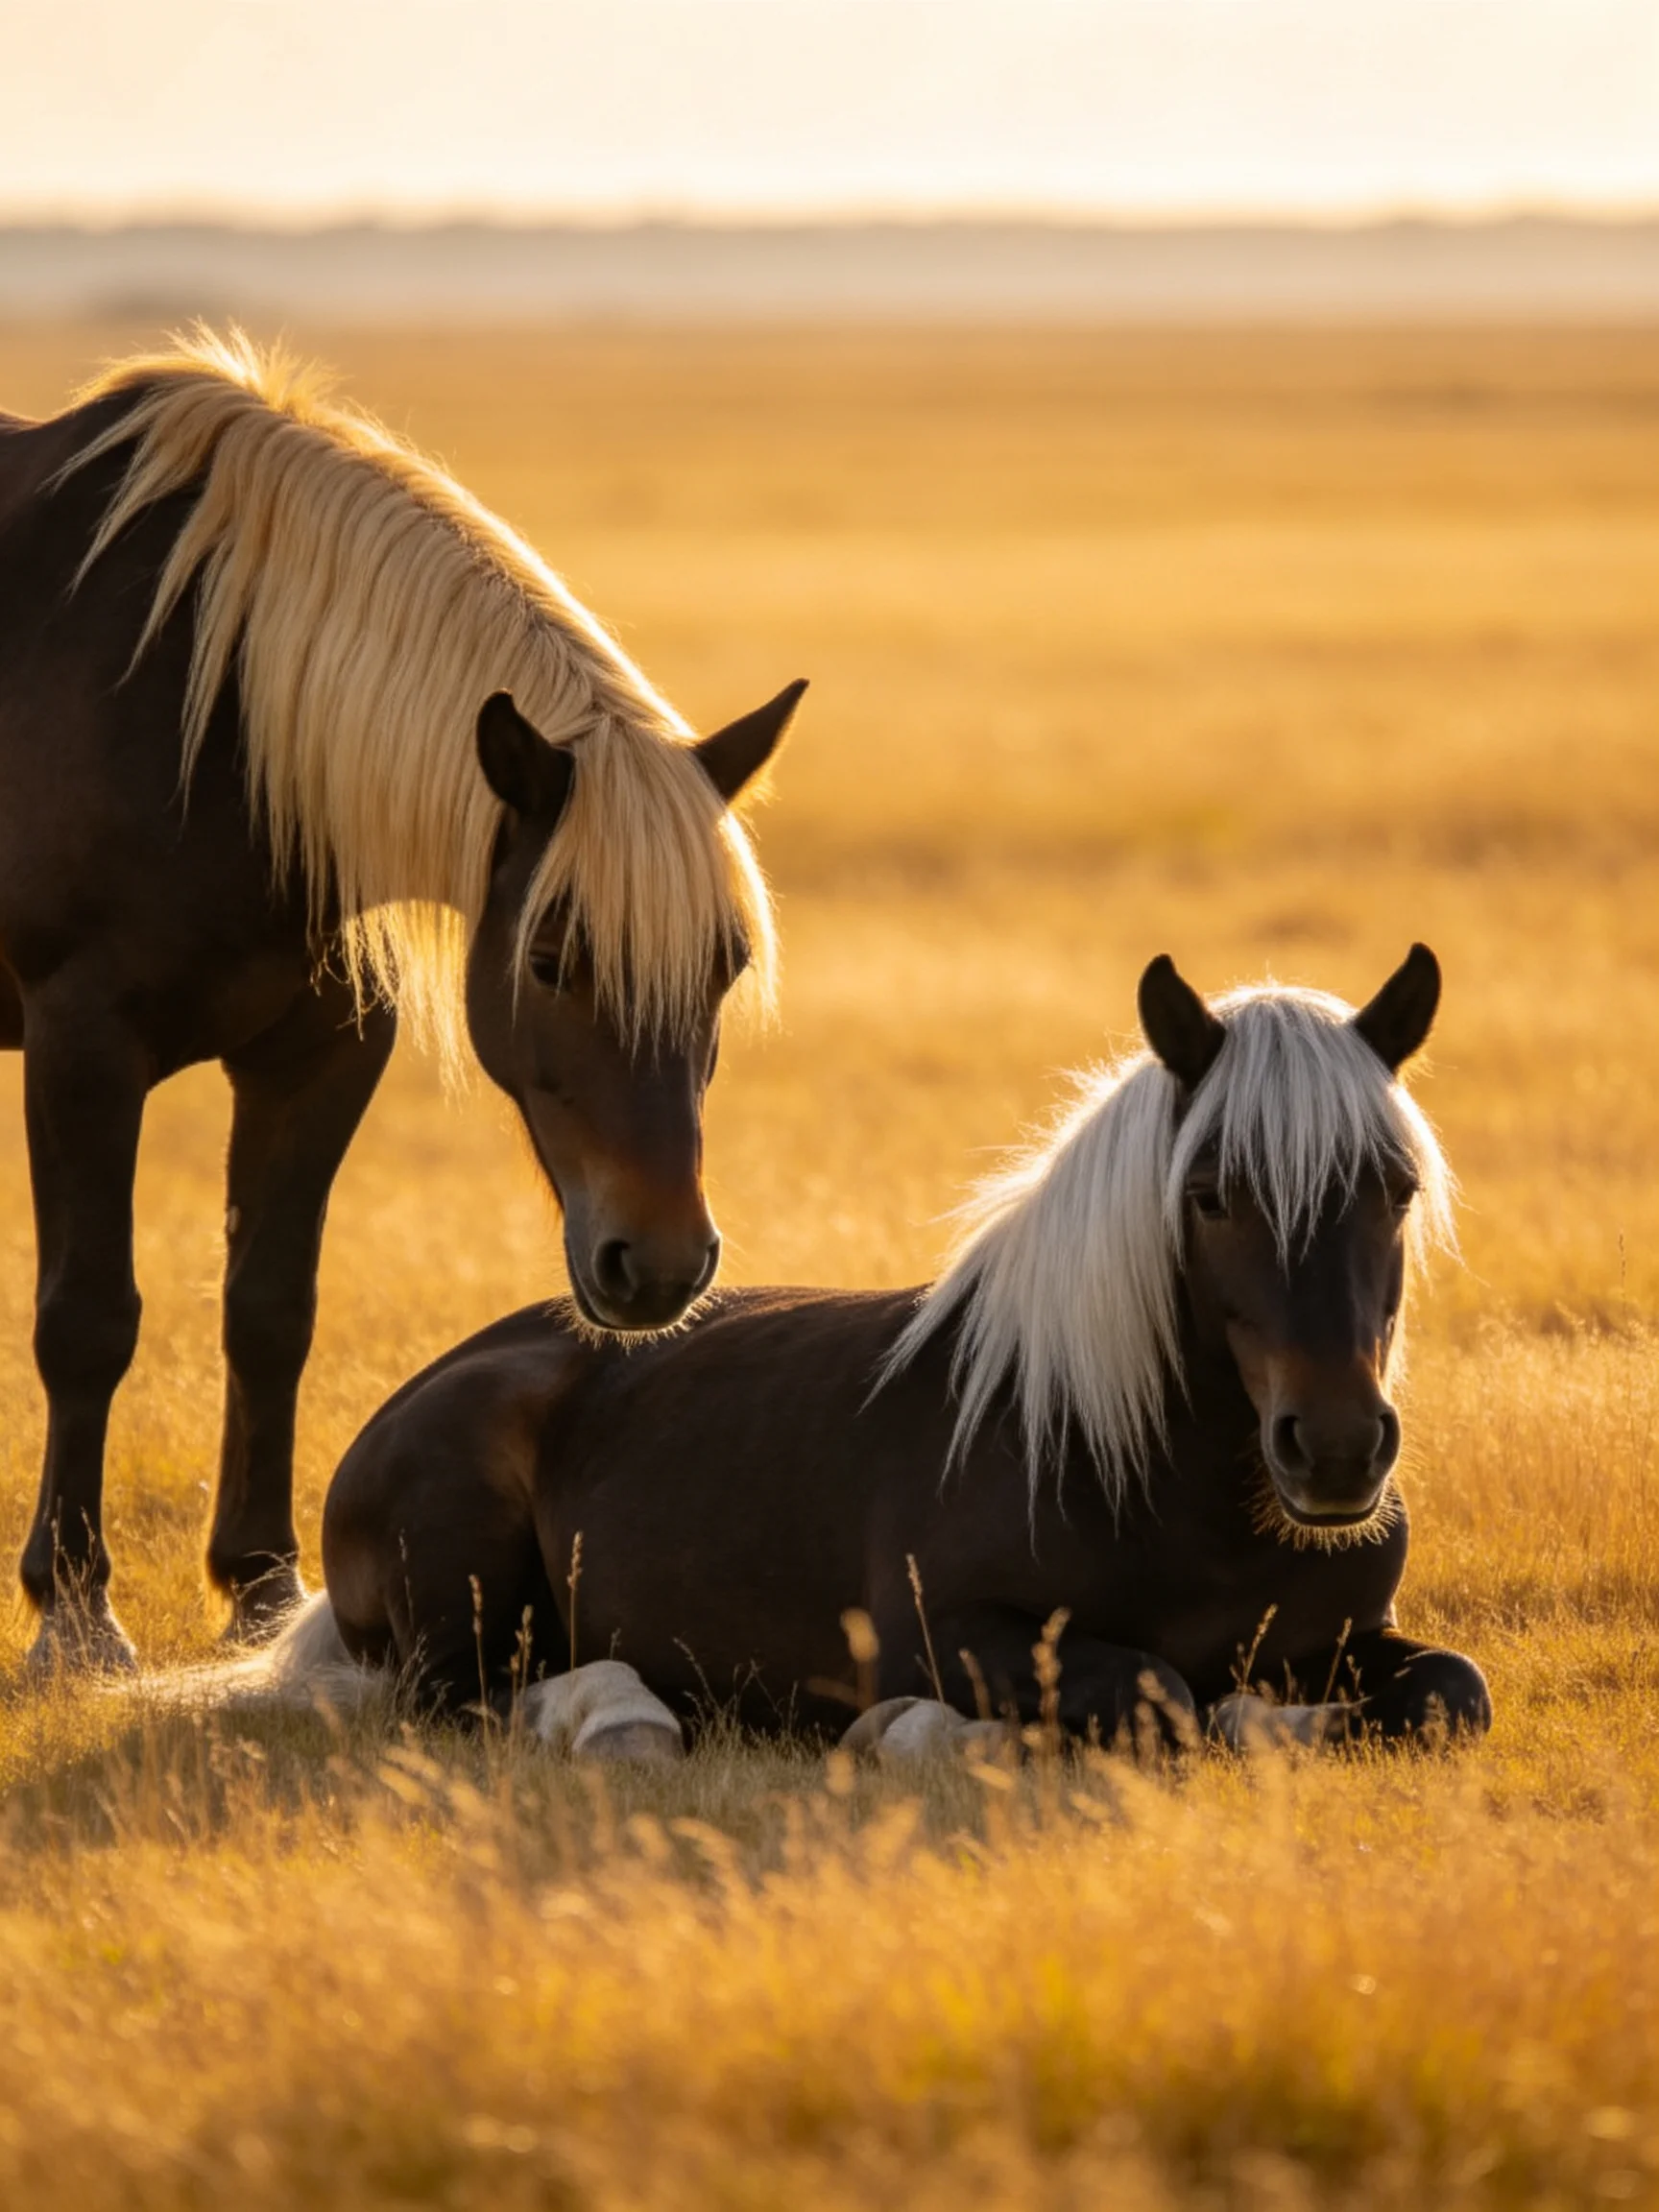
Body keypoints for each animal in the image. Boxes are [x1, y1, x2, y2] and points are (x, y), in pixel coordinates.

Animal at [0, 328, 805, 1672]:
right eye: (550, 958)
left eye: (727, 965)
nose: (661, 1267)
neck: (213, 723)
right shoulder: (81, 1044)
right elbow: (88, 1318)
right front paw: (75, 1613)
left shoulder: (320, 1055)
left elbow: (270, 1309)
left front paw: (261, 1592)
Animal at [265, 943, 1492, 1752]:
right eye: (1210, 1195)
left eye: (1396, 1188)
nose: (1335, 1450)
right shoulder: (947, 1635)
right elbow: (1166, 1698)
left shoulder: (1355, 1635)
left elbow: (1451, 1689)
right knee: (474, 1695)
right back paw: (624, 1714)